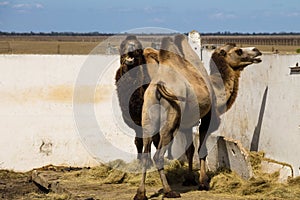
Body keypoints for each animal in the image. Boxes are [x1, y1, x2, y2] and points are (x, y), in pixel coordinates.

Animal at [135, 35, 262, 199]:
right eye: (238, 51)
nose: (257, 50)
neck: (217, 91)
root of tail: (157, 88)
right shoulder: (207, 119)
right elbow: (202, 149)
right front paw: (203, 182)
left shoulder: (187, 125)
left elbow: (190, 150)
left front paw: (189, 179)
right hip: (171, 119)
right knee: (158, 155)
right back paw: (169, 191)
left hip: (148, 119)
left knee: (146, 153)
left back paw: (140, 193)